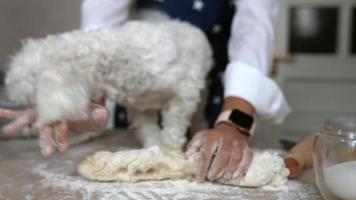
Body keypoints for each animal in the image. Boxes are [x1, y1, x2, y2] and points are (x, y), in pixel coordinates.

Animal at [4, 16, 211, 150]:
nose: (31, 122)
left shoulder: (185, 92)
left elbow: (174, 126)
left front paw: (170, 151)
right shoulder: (141, 107)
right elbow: (148, 129)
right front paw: (155, 148)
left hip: (201, 92)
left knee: (198, 114)